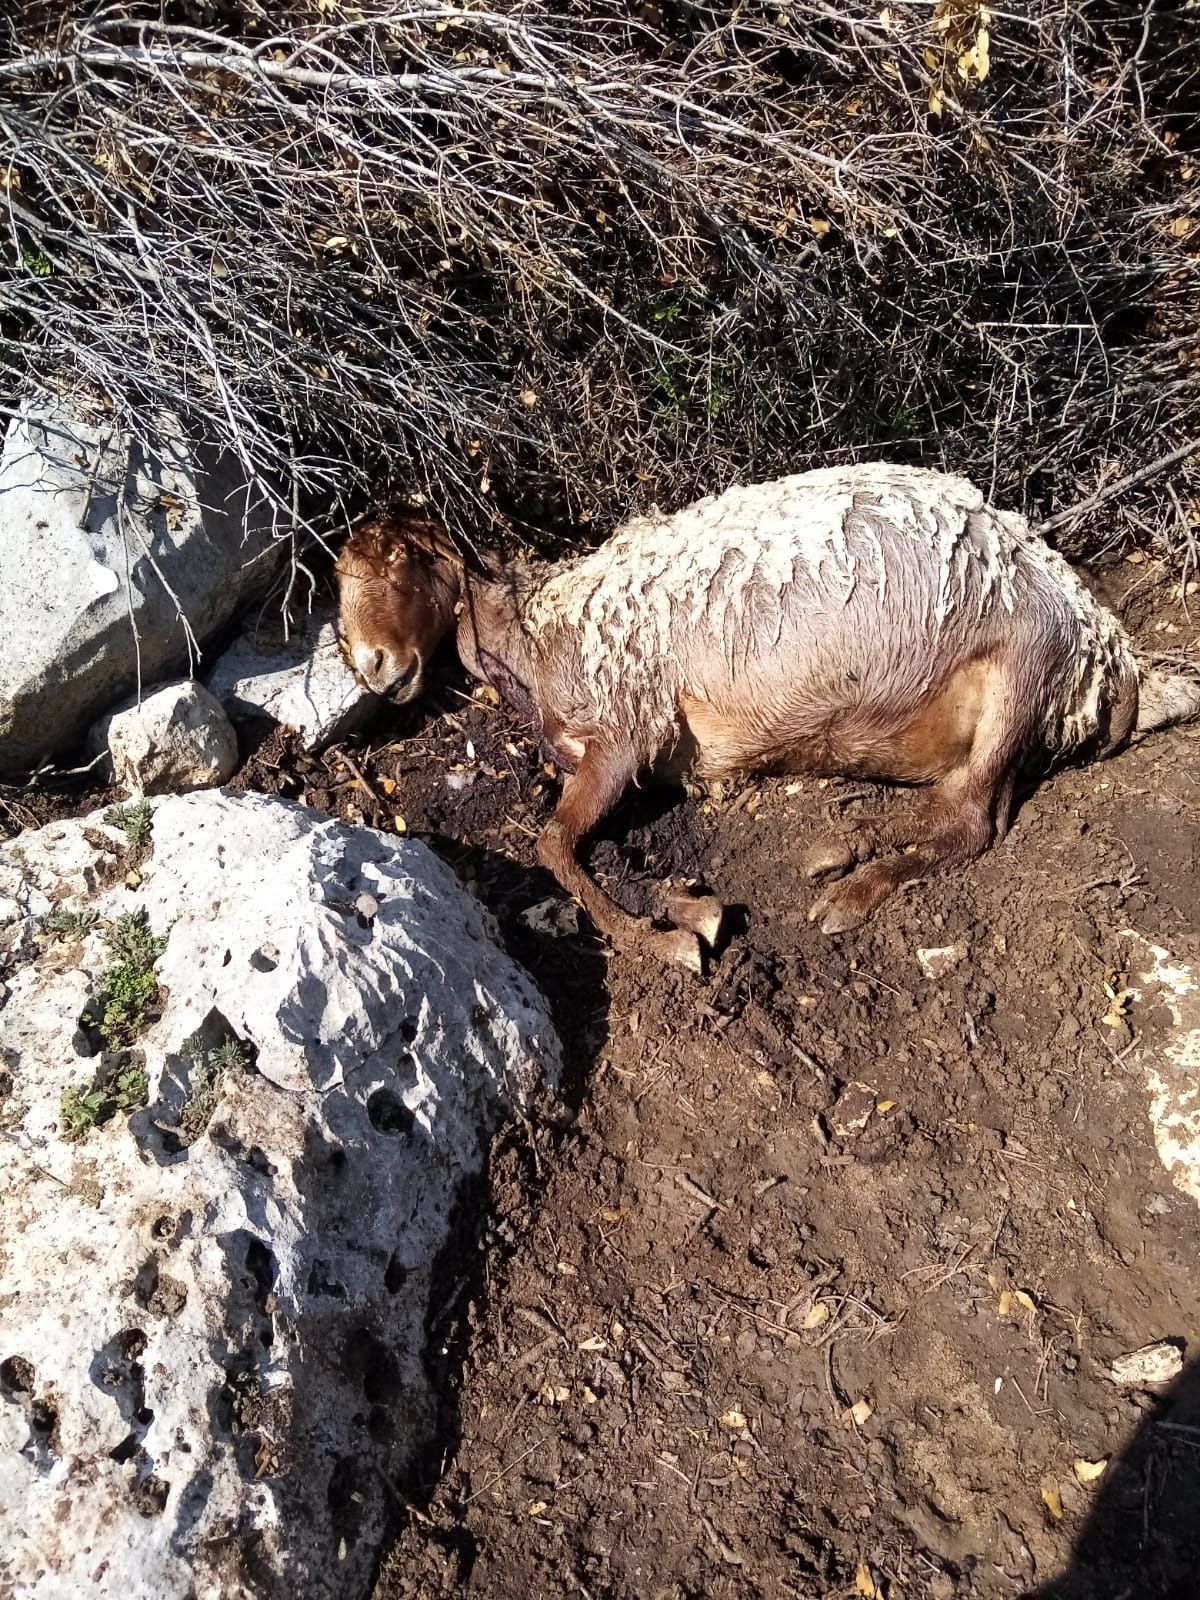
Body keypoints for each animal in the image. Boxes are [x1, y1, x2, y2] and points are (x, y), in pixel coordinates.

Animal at [334, 460, 1196, 960]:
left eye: (404, 560)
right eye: (340, 575)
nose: (372, 665)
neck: (540, 625)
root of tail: (1115, 659)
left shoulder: (628, 728)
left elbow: (551, 845)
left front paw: (656, 939)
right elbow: (584, 845)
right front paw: (686, 911)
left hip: (1022, 669)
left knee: (973, 819)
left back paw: (848, 881)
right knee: (954, 805)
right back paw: (844, 844)